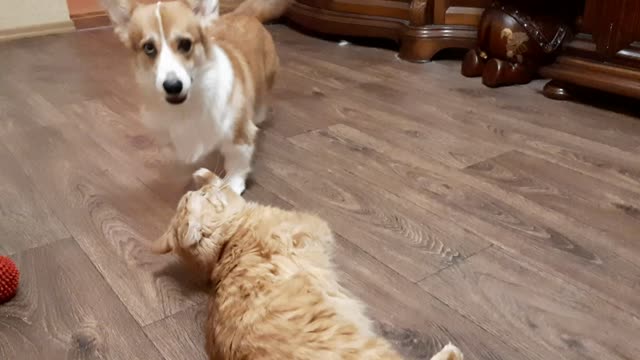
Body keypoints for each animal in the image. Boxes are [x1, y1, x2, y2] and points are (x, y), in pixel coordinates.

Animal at [101, 0, 292, 194]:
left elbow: (237, 163)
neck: (187, 107)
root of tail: (244, 14)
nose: (172, 86)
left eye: (185, 44)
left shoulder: (239, 133)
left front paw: (231, 186)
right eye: (149, 48)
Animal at [152, 169, 462, 360]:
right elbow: (229, 189)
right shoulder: (315, 226)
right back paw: (451, 351)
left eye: (199, 197)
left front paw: (204, 174)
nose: (200, 190)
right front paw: (209, 177)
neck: (229, 246)